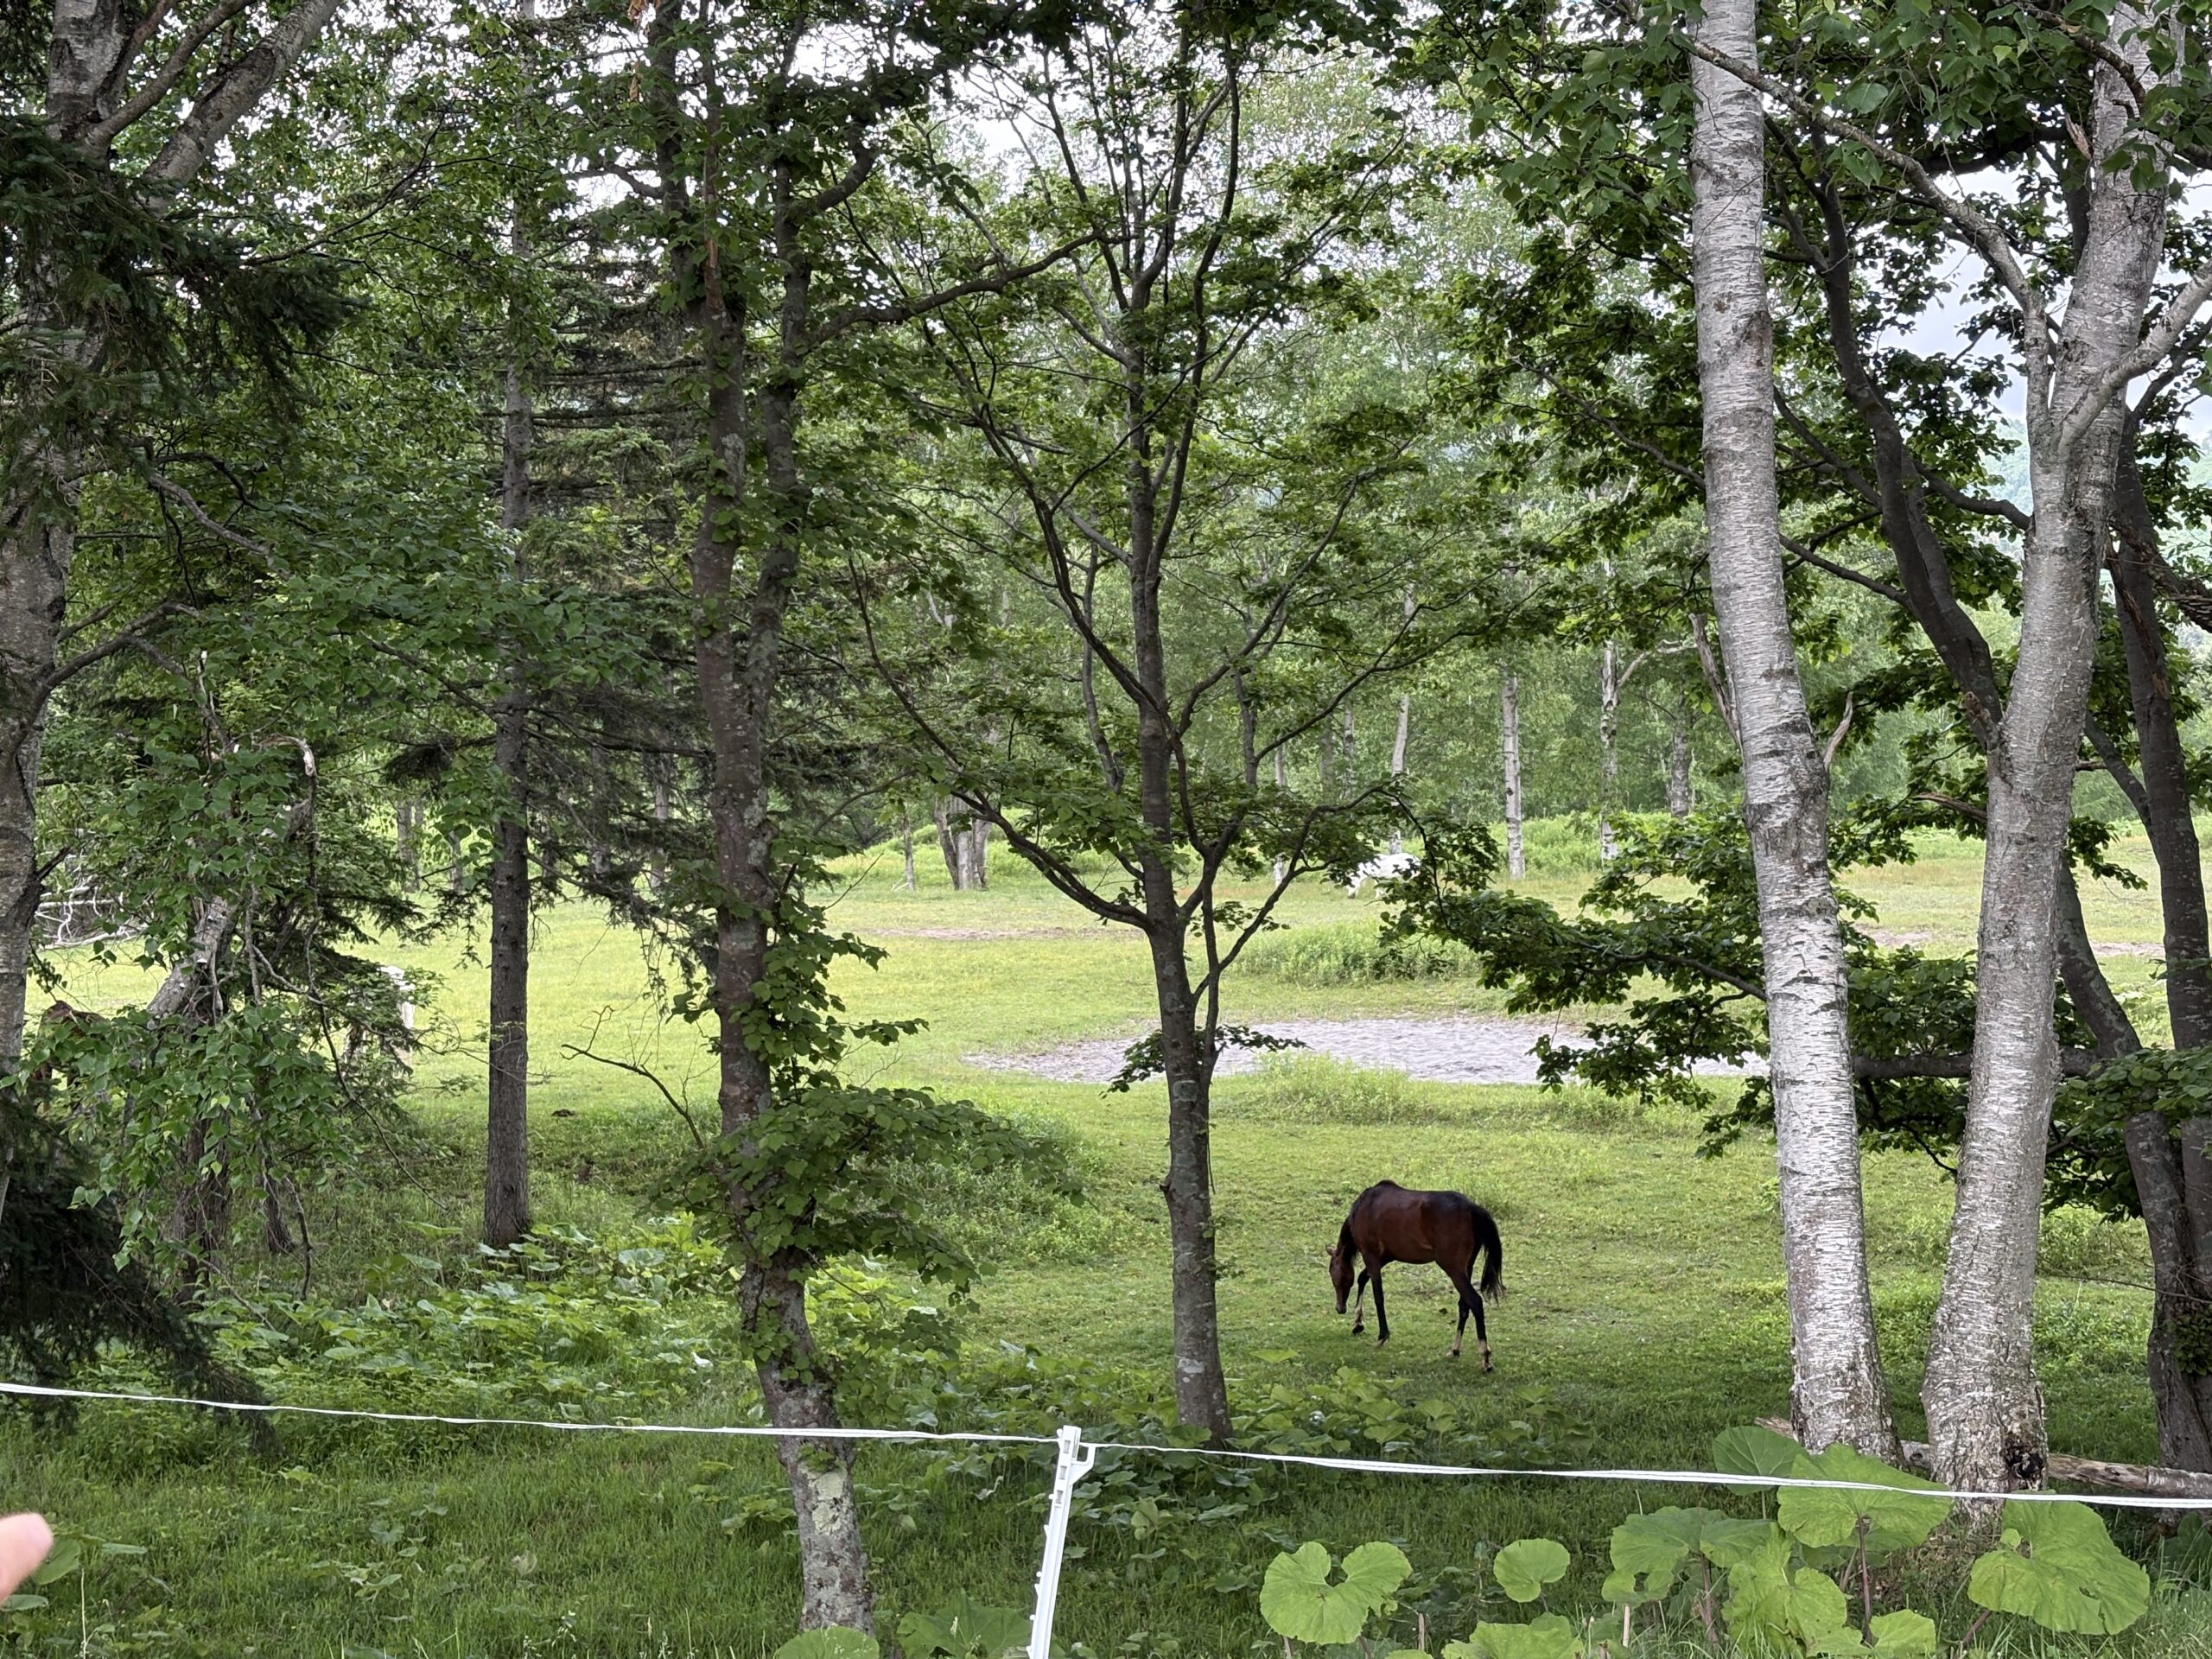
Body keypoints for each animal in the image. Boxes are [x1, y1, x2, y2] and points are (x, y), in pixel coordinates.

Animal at [1328, 1180, 1505, 1369]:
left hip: (1454, 1269)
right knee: (1464, 1305)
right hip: (1466, 1268)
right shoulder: (1385, 1257)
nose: (1339, 1308)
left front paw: (1382, 1336)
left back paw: (1485, 1357)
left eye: (1333, 1274)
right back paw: (1454, 1350)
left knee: (1475, 1302)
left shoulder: (1372, 1257)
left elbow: (1378, 1296)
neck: (1363, 1207)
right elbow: (1362, 1278)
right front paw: (1358, 1323)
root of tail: (1472, 1208)